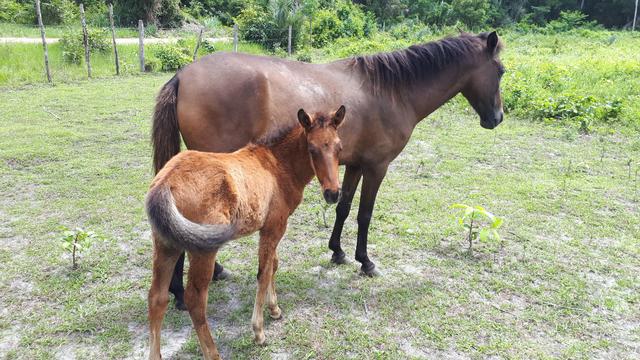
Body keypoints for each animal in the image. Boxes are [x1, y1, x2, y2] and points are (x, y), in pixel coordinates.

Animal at [146, 105, 344, 358]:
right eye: (312, 149)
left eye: (339, 147)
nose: (333, 193)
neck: (277, 164)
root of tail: (165, 183)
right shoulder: (274, 228)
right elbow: (263, 273)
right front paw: (259, 331)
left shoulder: (270, 228)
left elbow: (273, 265)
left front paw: (274, 309)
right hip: (203, 250)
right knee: (195, 300)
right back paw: (213, 353)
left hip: (166, 245)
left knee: (157, 298)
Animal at [151, 31, 504, 310]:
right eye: (500, 71)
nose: (497, 118)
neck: (391, 92)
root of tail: (183, 75)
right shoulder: (377, 167)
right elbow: (365, 214)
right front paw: (366, 262)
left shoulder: (354, 165)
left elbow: (344, 207)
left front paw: (338, 252)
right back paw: (186, 290)